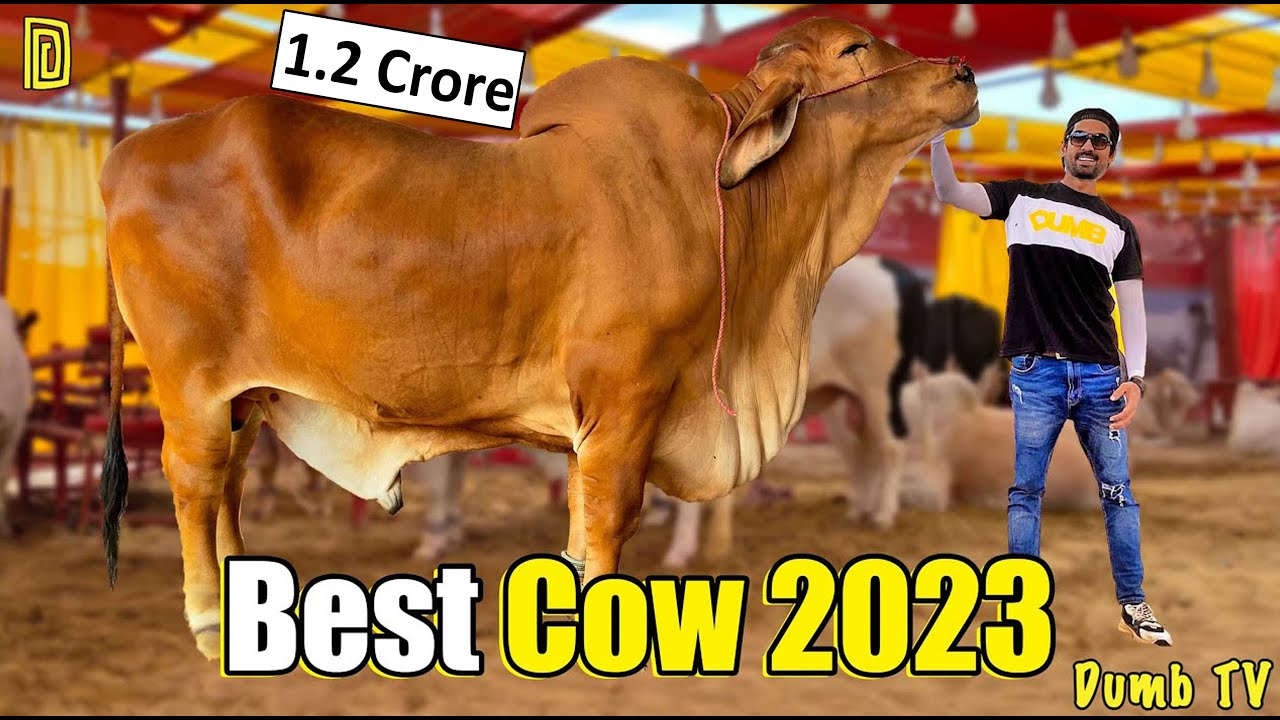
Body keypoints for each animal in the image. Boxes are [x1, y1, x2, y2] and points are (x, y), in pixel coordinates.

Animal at [96, 18, 980, 660]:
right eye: (855, 48)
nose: (962, 74)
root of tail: (127, 153)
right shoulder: (628, 395)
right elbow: (610, 514)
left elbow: (582, 517)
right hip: (191, 386)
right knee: (195, 482)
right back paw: (210, 618)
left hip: (246, 394)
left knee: (232, 484)